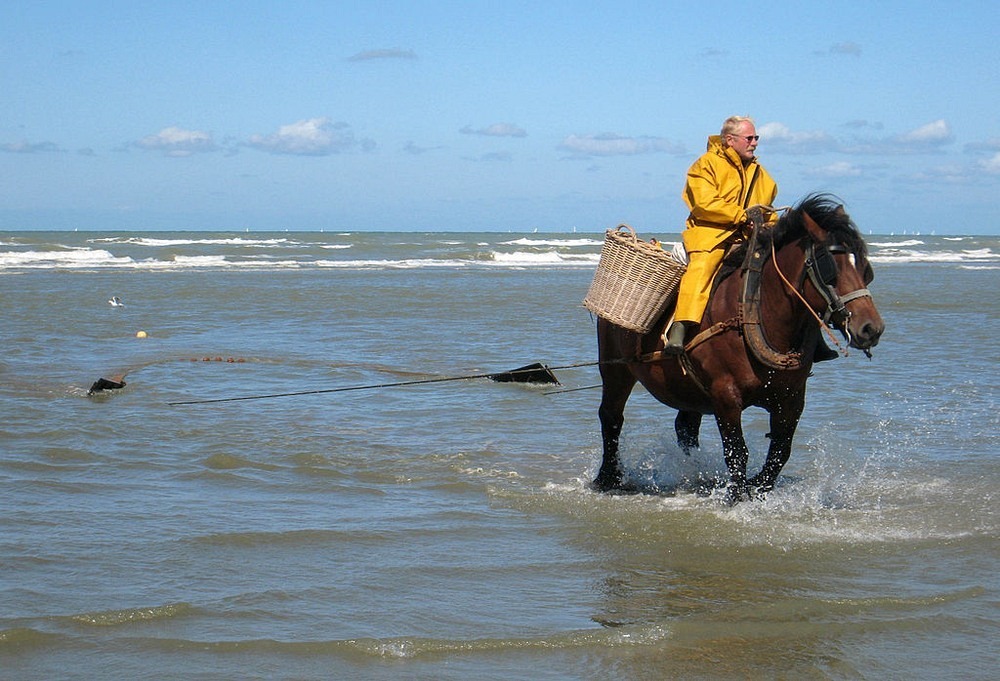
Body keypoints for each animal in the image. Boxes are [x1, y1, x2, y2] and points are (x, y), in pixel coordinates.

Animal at [592, 194, 885, 503]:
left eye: (865, 269)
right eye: (831, 268)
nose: (871, 328)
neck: (754, 314)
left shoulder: (792, 398)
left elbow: (780, 453)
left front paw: (757, 487)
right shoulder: (726, 396)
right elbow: (737, 453)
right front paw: (737, 495)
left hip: (686, 387)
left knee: (686, 427)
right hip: (616, 370)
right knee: (611, 417)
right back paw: (609, 478)